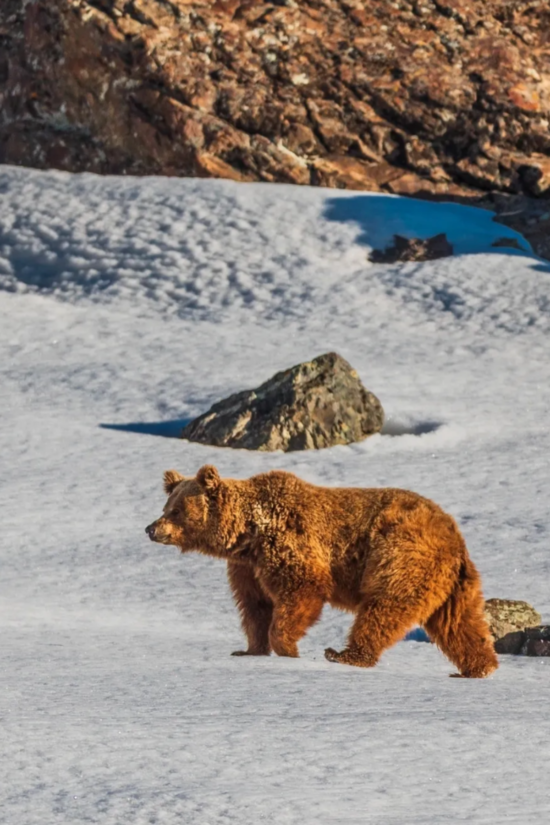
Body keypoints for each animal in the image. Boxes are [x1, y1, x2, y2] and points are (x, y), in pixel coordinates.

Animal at [146, 464, 500, 676]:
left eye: (176, 510)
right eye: (165, 506)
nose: (151, 528)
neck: (248, 532)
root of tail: (453, 535)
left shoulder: (289, 543)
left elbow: (302, 590)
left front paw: (287, 647)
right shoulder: (247, 567)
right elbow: (254, 607)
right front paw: (248, 650)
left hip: (401, 556)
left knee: (383, 607)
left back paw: (346, 654)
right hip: (453, 583)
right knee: (459, 623)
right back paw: (478, 667)